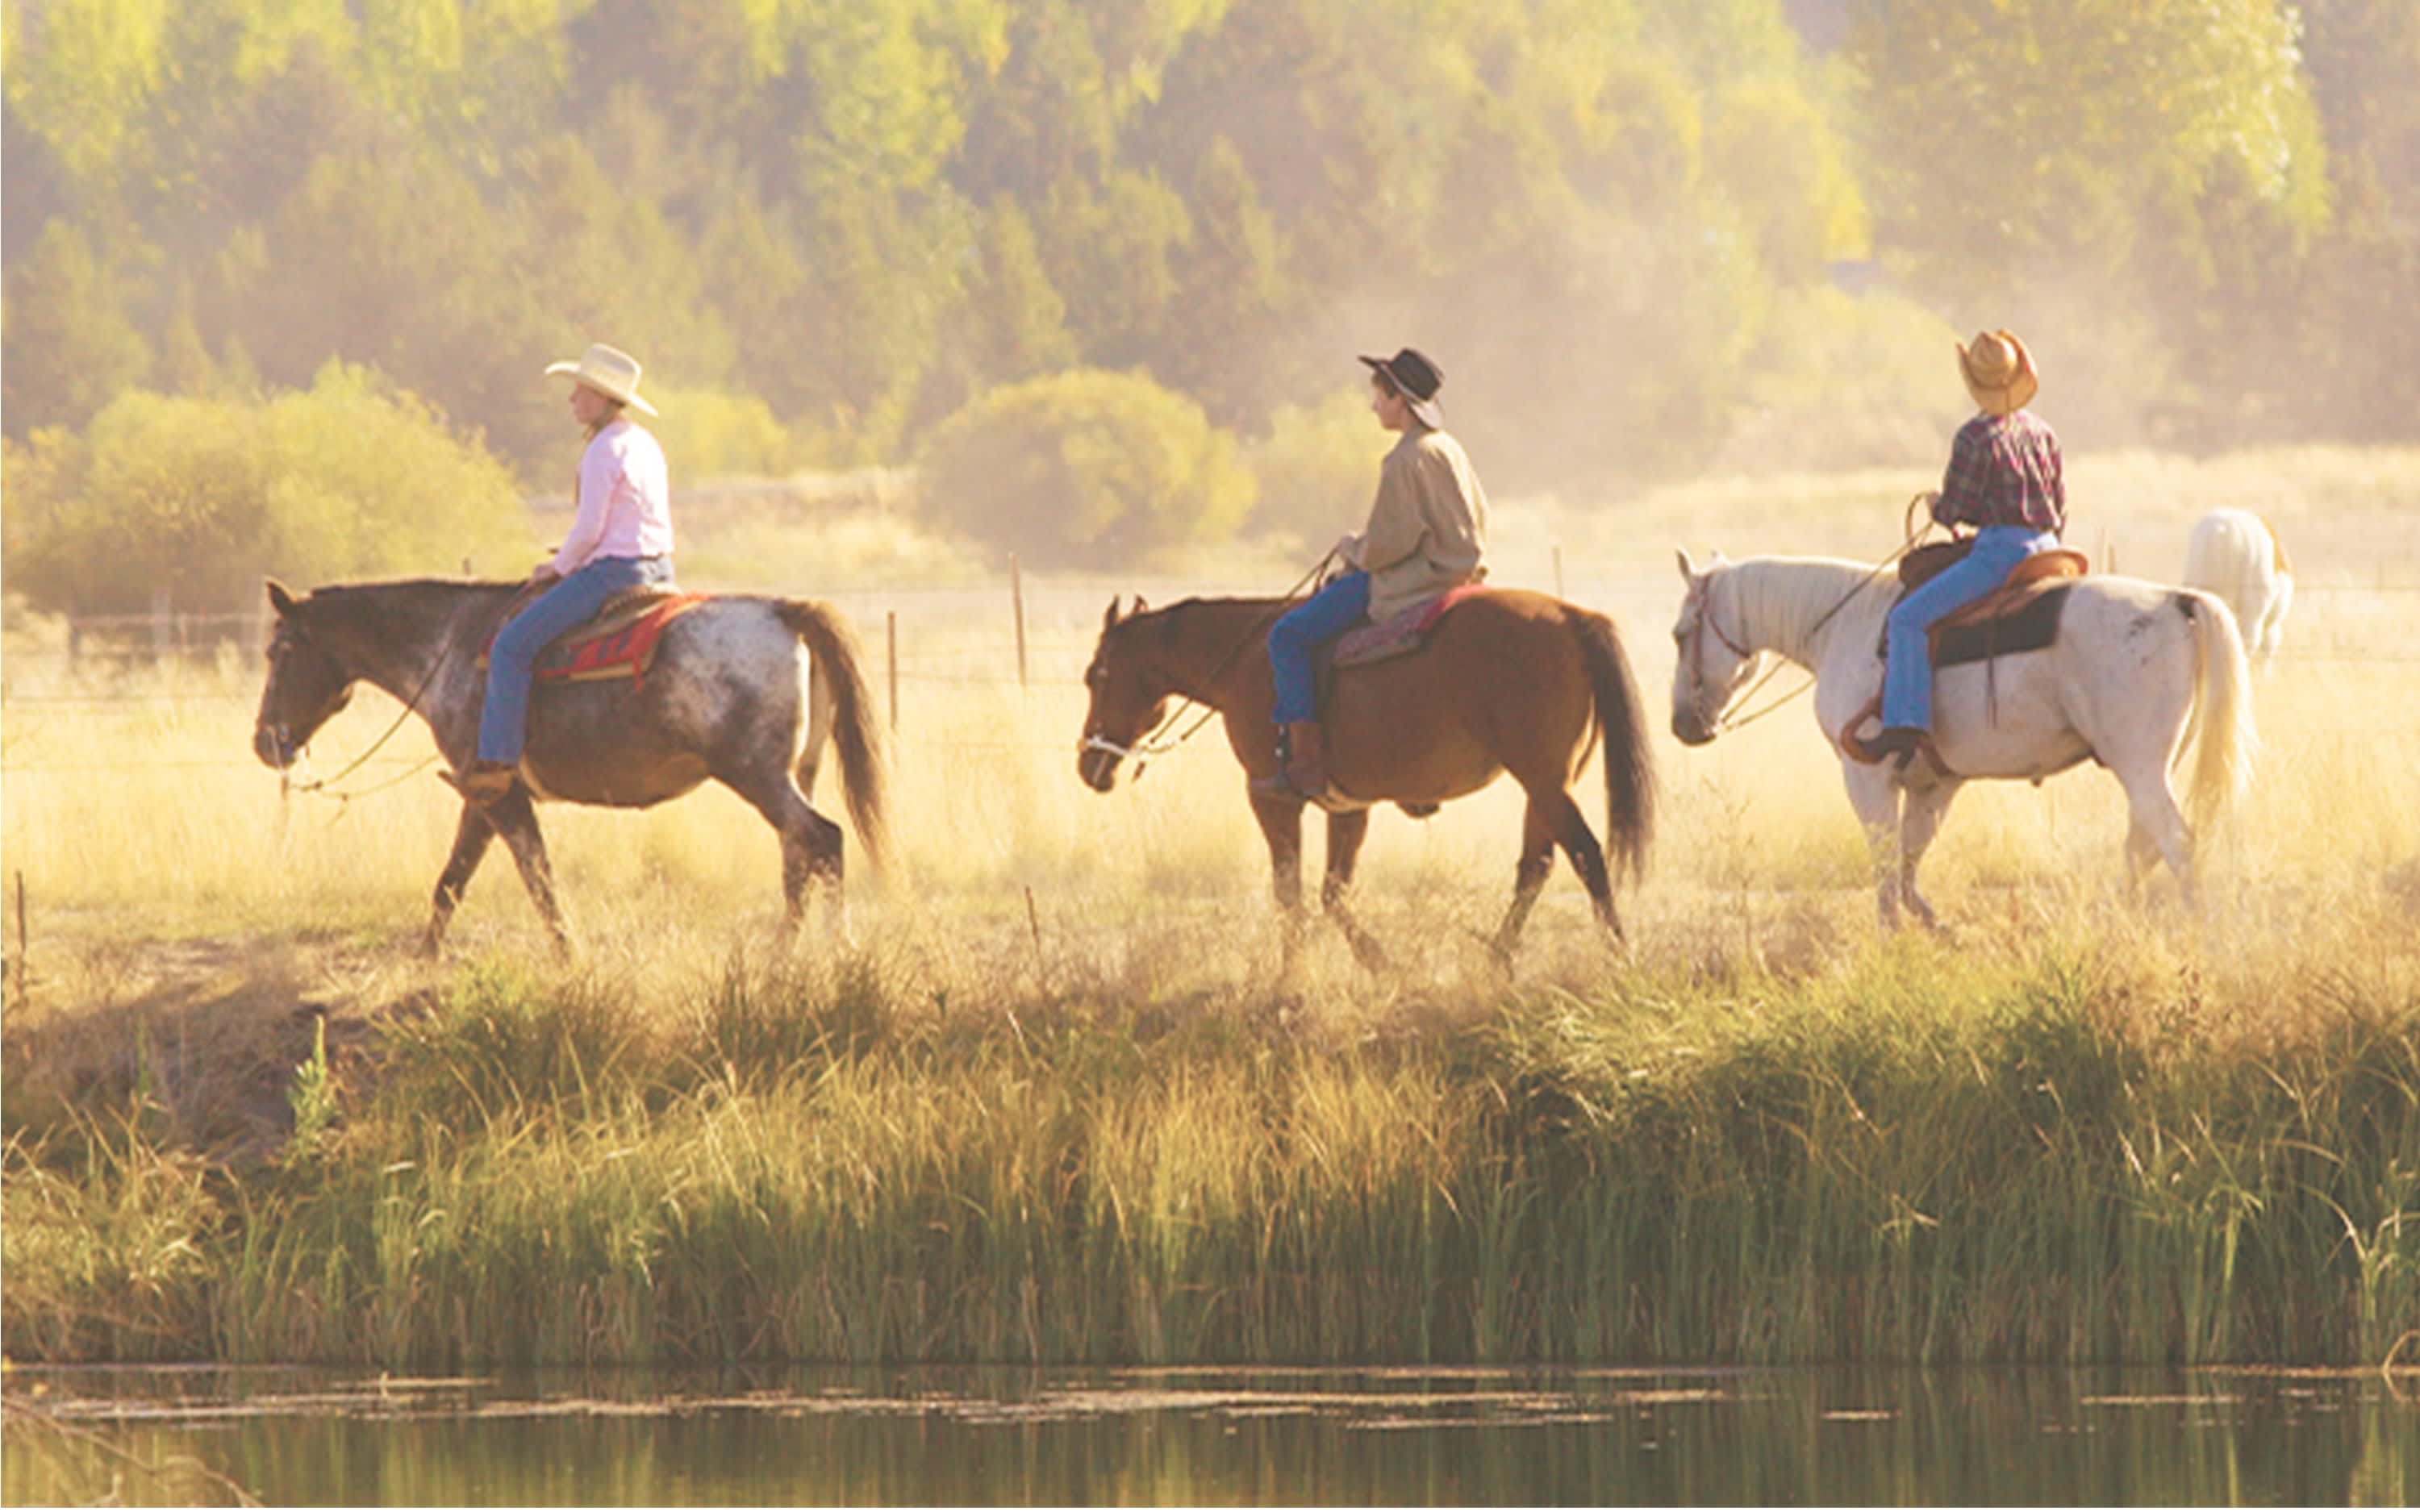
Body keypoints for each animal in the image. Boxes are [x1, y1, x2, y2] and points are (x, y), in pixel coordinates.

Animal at [252, 571, 891, 948]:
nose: (264, 743)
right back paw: (782, 959)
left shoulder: (503, 797)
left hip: (758, 775)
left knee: (824, 840)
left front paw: (568, 956)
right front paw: (425, 962)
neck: (450, 645)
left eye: (277, 650)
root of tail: (788, 611)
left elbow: (537, 879)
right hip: (792, 774)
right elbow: (451, 882)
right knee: (797, 858)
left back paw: (836, 951)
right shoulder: (482, 796)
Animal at [1084, 593, 1665, 968]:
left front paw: (1289, 986)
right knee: (1536, 867)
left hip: (1543, 781)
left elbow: (1290, 897)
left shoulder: (1271, 800)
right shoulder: (1349, 806)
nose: (1088, 764)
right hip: (1546, 785)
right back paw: (1498, 958)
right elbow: (1333, 894)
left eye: (1096, 676)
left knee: (1586, 855)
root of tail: (1572, 615)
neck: (1245, 659)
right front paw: (1381, 964)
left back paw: (1620, 958)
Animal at [1675, 549, 2255, 924]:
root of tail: (2175, 600)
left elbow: (1885, 865)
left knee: (2177, 845)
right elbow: (1910, 860)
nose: (1683, 725)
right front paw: (1932, 926)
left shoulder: (1865, 775)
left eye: (1681, 634)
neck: (1847, 627)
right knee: (2143, 847)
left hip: (2139, 766)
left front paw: (1890, 938)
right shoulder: (1934, 783)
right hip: (2151, 768)